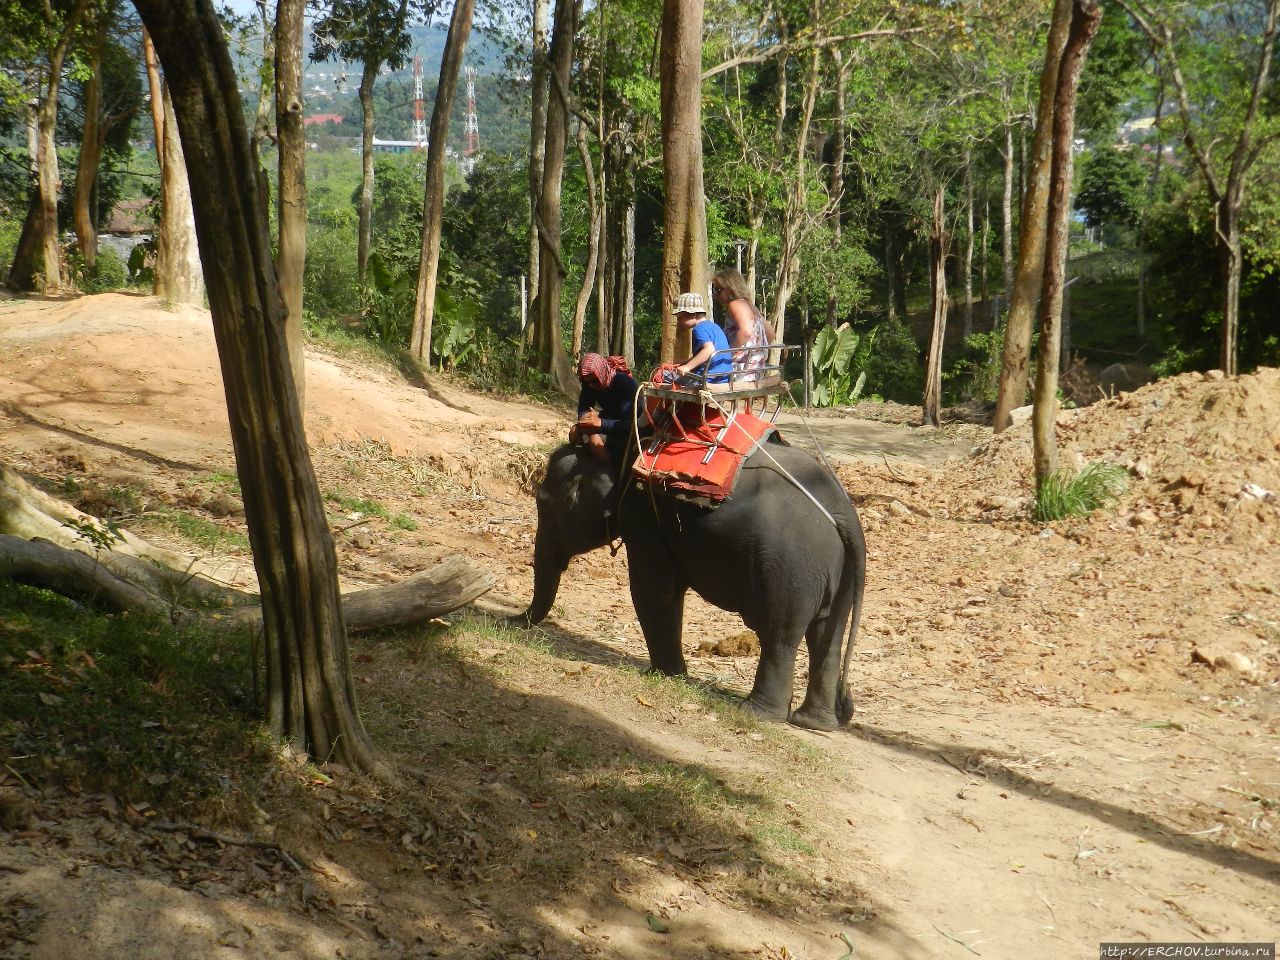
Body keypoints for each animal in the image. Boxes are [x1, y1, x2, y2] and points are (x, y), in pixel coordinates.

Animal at [522, 440, 870, 732]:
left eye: (543, 503)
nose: (513, 621)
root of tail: (844, 512)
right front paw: (670, 674)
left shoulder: (644, 514)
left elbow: (652, 589)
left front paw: (663, 675)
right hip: (841, 573)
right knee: (827, 637)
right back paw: (813, 723)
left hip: (790, 569)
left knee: (779, 636)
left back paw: (756, 713)